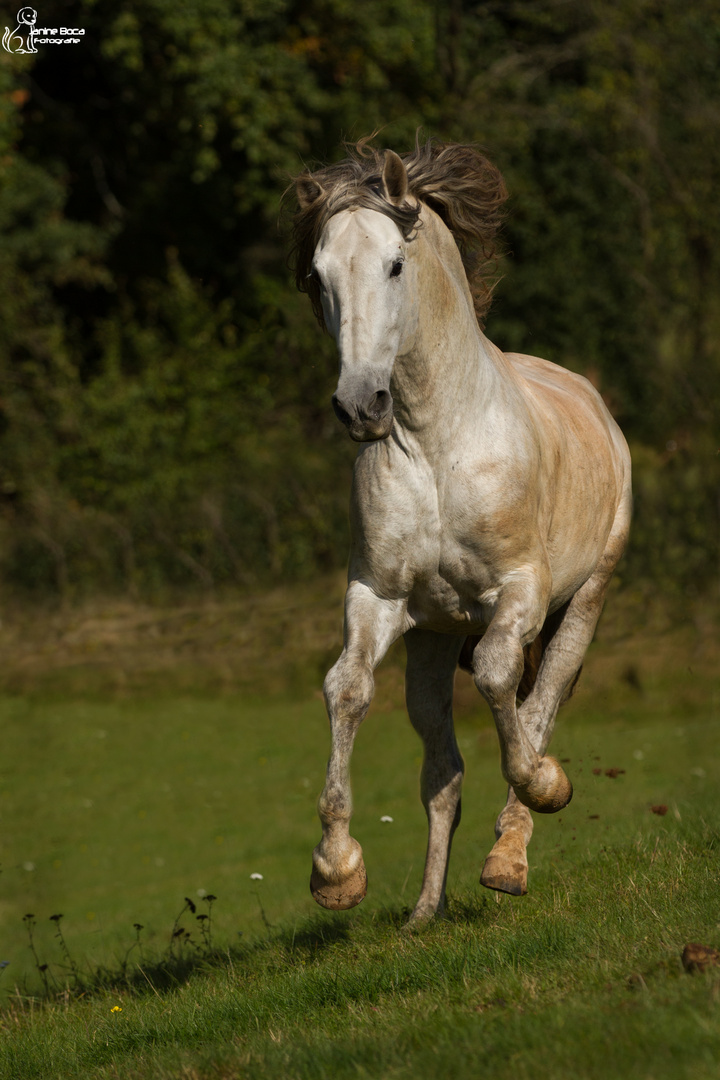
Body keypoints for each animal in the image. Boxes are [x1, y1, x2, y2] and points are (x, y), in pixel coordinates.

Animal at [289, 139, 626, 924]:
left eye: (394, 264)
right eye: (319, 275)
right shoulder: (378, 597)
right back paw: (424, 912)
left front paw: (547, 787)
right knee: (442, 771)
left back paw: (509, 858)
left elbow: (505, 682)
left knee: (541, 702)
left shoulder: (520, 590)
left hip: (584, 600)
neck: (436, 444)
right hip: (435, 641)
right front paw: (336, 872)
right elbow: (345, 688)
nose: (361, 405)